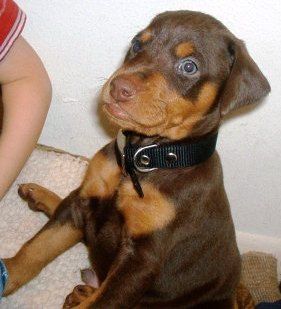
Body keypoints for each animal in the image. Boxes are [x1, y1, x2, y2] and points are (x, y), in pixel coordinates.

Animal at [2, 10, 270, 308]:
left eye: (189, 66)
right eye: (137, 44)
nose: (119, 87)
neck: (142, 158)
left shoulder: (141, 261)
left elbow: (101, 302)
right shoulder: (87, 198)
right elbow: (37, 248)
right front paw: (7, 273)